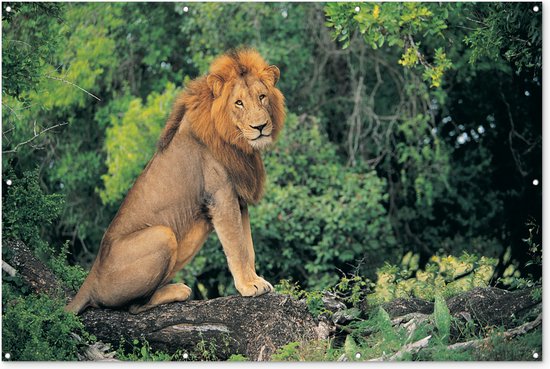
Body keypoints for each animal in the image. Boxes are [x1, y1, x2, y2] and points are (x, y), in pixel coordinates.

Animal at [66, 49, 284, 314]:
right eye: (239, 103)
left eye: (262, 97)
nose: (260, 127)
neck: (237, 143)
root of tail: (91, 277)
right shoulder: (220, 196)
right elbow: (237, 247)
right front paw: (249, 286)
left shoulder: (239, 200)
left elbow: (248, 246)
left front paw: (255, 280)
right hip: (162, 235)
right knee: (132, 307)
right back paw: (179, 290)